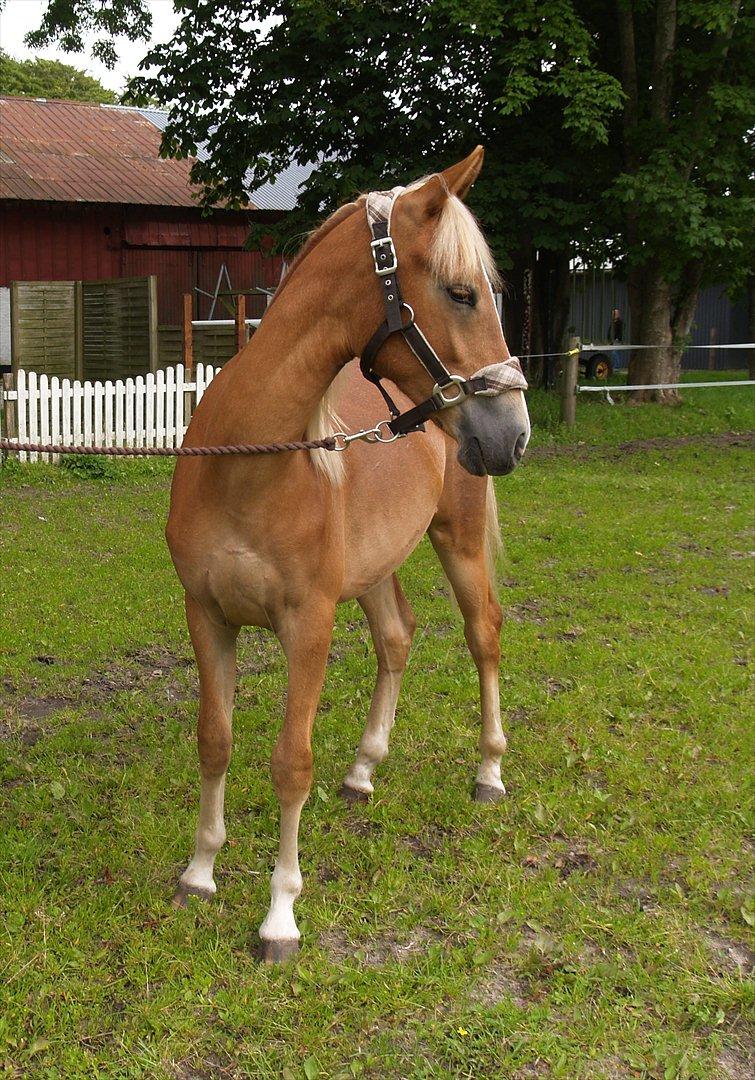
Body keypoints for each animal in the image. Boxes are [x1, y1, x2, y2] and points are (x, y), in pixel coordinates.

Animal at [166, 146, 531, 961]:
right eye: (462, 292)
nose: (513, 432)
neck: (246, 460)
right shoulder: (207, 615)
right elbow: (214, 741)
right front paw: (200, 872)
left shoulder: (309, 625)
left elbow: (289, 763)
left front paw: (279, 916)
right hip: (375, 569)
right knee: (397, 637)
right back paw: (364, 770)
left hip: (456, 543)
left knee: (483, 635)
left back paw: (489, 771)